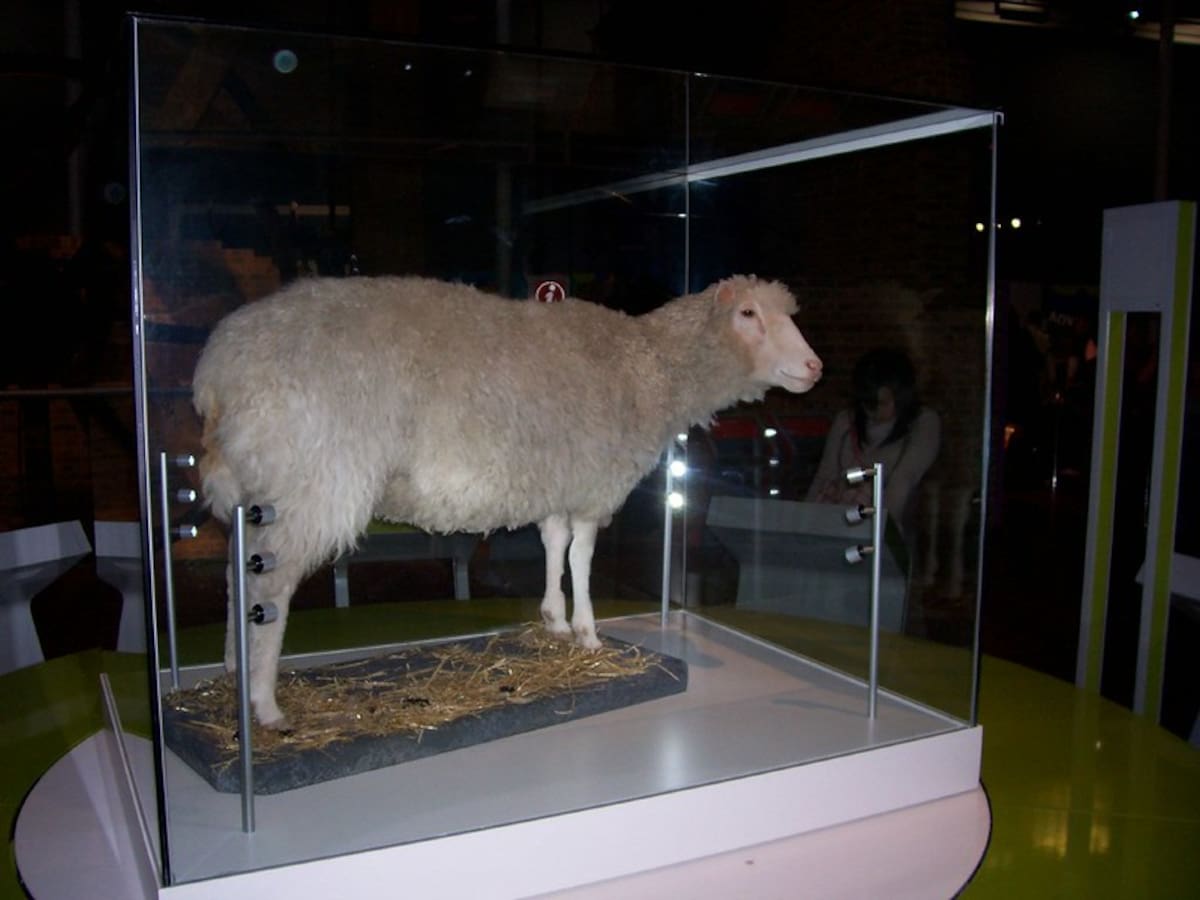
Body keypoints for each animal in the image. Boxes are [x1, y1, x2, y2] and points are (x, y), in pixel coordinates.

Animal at [193, 274, 823, 729]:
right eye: (748, 315)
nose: (815, 366)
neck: (650, 368)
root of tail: (218, 372)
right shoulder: (593, 479)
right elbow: (582, 556)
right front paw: (589, 634)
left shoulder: (557, 478)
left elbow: (554, 544)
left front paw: (554, 622)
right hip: (313, 481)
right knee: (271, 589)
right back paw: (265, 704)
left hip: (258, 488)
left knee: (238, 576)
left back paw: (233, 669)